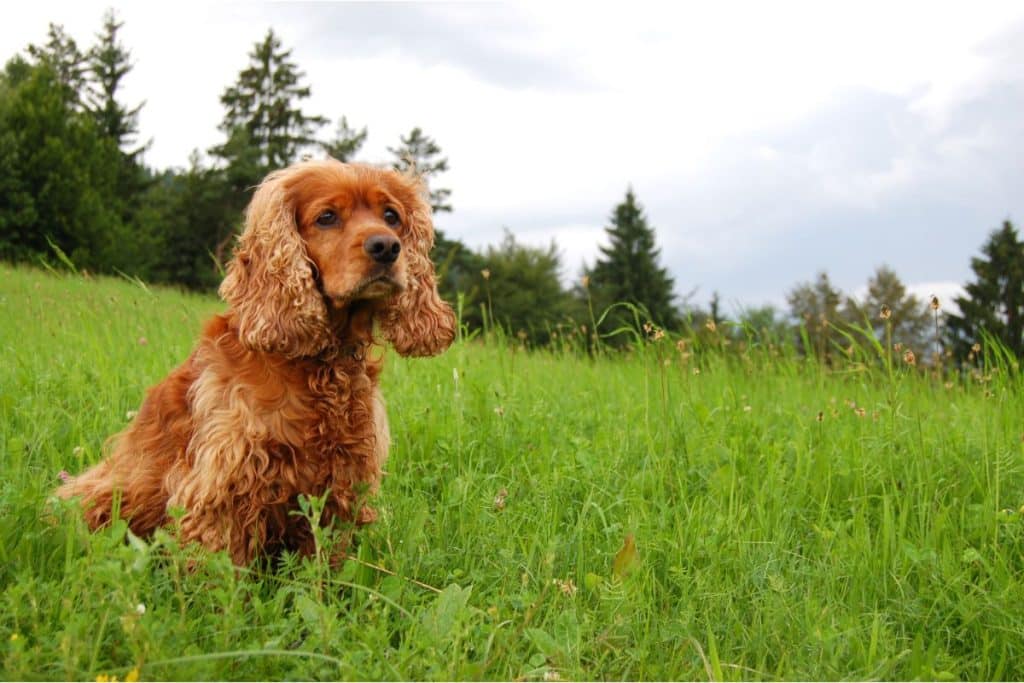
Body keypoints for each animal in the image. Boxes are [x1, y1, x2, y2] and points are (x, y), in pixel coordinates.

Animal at [57, 160, 456, 565]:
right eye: (327, 217)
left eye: (391, 216)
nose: (387, 247)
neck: (322, 363)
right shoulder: (227, 481)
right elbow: (219, 567)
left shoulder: (342, 481)